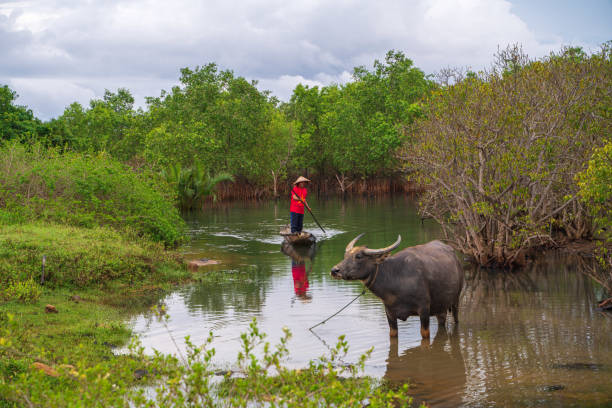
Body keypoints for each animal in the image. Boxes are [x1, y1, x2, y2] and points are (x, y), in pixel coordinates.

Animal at [332, 234, 462, 340]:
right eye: (345, 255)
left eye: (358, 256)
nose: (334, 270)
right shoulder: (390, 314)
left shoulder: (424, 310)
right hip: (441, 307)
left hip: (456, 300)